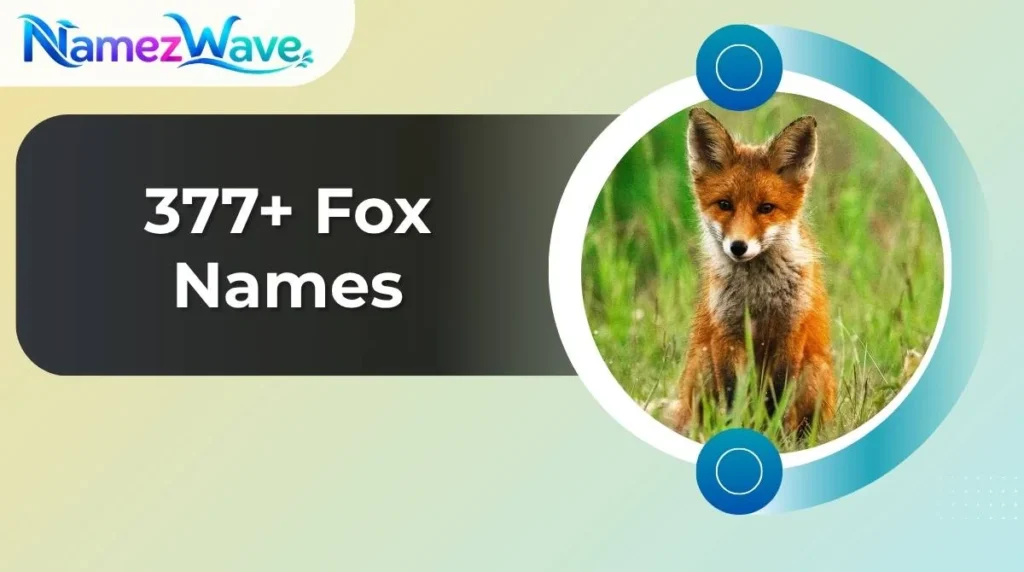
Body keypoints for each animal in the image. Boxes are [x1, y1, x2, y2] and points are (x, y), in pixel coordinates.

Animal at [673, 107, 836, 437]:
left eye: (766, 208)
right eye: (725, 205)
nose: (738, 247)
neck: (757, 294)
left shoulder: (790, 331)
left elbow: (776, 396)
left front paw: (772, 435)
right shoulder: (727, 334)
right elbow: (733, 396)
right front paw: (737, 429)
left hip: (815, 370)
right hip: (702, 363)